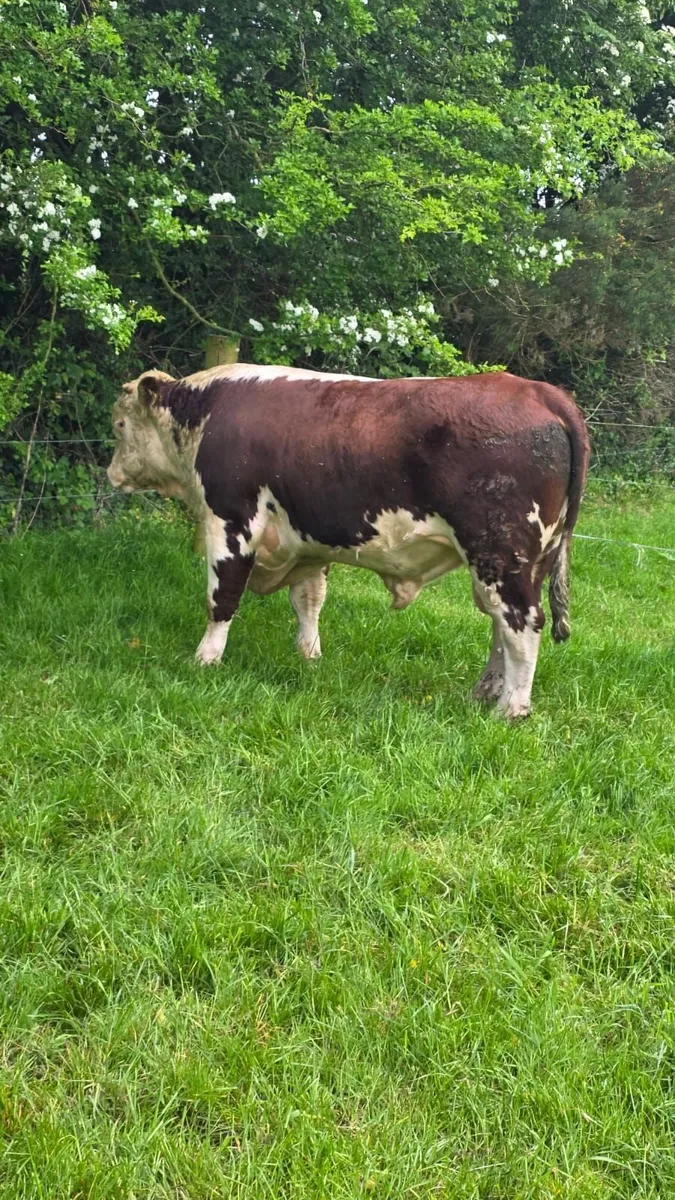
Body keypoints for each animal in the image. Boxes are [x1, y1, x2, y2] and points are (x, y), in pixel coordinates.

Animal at [107, 363, 589, 718]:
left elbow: (221, 597)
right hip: (524, 559)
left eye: (118, 424)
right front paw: (308, 656)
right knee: (499, 624)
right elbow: (309, 599)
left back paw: (510, 709)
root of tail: (539, 391)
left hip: (501, 553)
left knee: (522, 623)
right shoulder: (307, 538)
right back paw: (485, 693)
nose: (111, 474)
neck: (206, 413)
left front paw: (205, 659)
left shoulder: (230, 522)